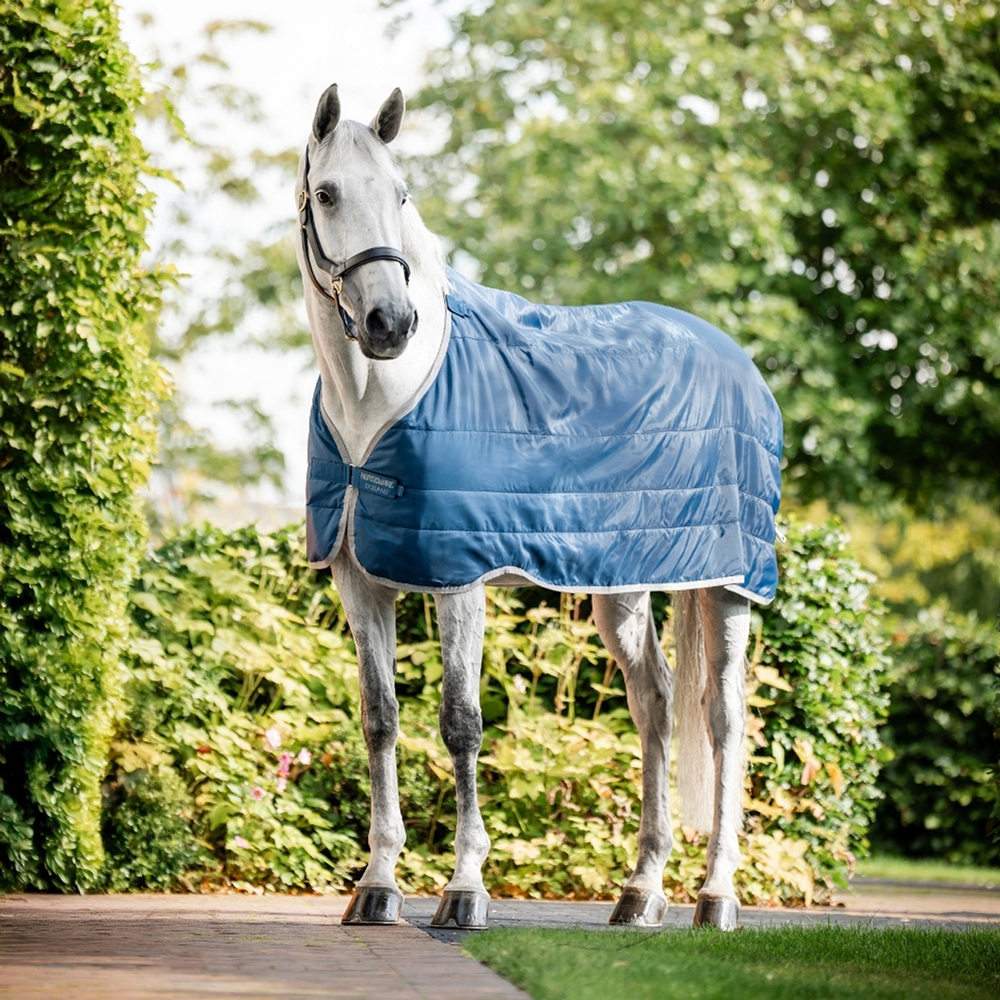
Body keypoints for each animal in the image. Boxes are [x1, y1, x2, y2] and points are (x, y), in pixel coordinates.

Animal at [295, 84, 782, 931]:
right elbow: (379, 718)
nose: (392, 323)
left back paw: (715, 897)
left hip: (727, 586)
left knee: (724, 720)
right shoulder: (360, 577)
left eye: (400, 194)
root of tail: (738, 360)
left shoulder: (457, 578)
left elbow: (460, 723)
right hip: (623, 588)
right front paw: (377, 887)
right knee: (655, 703)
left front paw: (463, 891)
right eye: (327, 194)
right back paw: (640, 894)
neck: (378, 406)